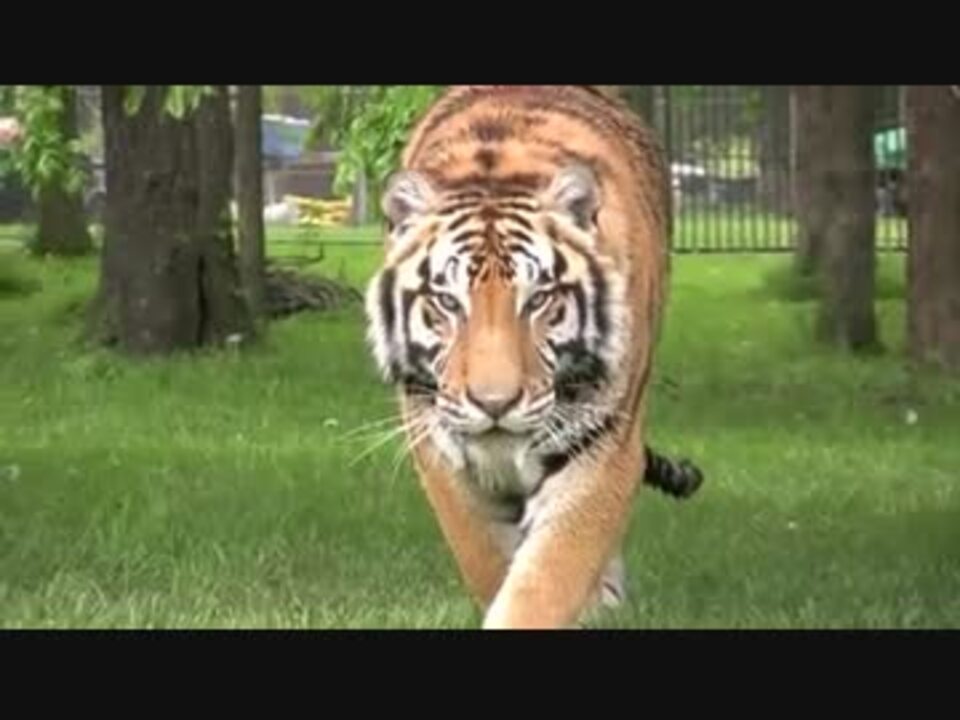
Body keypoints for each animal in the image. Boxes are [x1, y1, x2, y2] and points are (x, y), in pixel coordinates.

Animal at [364, 85, 703, 629]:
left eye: (540, 299)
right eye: (448, 302)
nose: (494, 403)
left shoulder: (601, 446)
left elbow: (549, 576)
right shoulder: (438, 451)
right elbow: (485, 557)